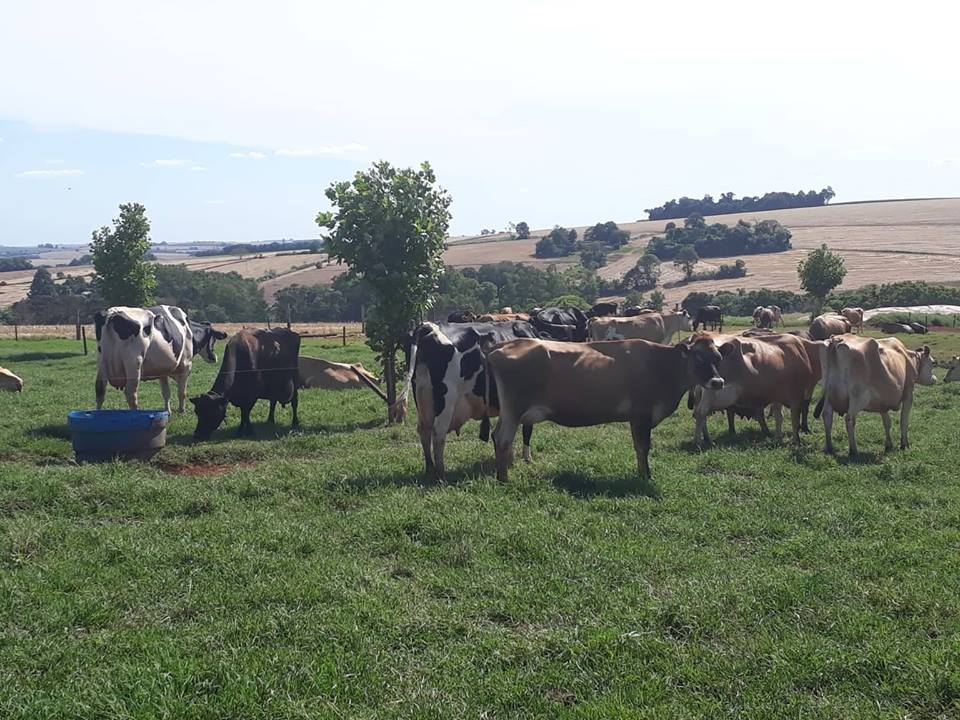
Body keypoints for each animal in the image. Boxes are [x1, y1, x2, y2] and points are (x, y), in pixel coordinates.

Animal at [484, 334, 724, 480]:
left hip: (508, 412)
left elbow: (639, 447)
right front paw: (646, 475)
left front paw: (641, 473)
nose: (718, 382)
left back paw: (500, 473)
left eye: (718, 357)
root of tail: (503, 345)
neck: (662, 364)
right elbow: (643, 446)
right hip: (514, 410)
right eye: (698, 357)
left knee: (496, 436)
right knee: (503, 439)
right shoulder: (642, 415)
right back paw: (504, 479)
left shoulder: (636, 418)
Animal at [688, 332, 824, 444]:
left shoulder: (777, 396)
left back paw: (706, 438)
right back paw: (698, 441)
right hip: (712, 391)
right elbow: (795, 420)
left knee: (699, 413)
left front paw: (778, 439)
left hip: (701, 393)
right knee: (701, 413)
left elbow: (779, 417)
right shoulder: (796, 396)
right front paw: (796, 441)